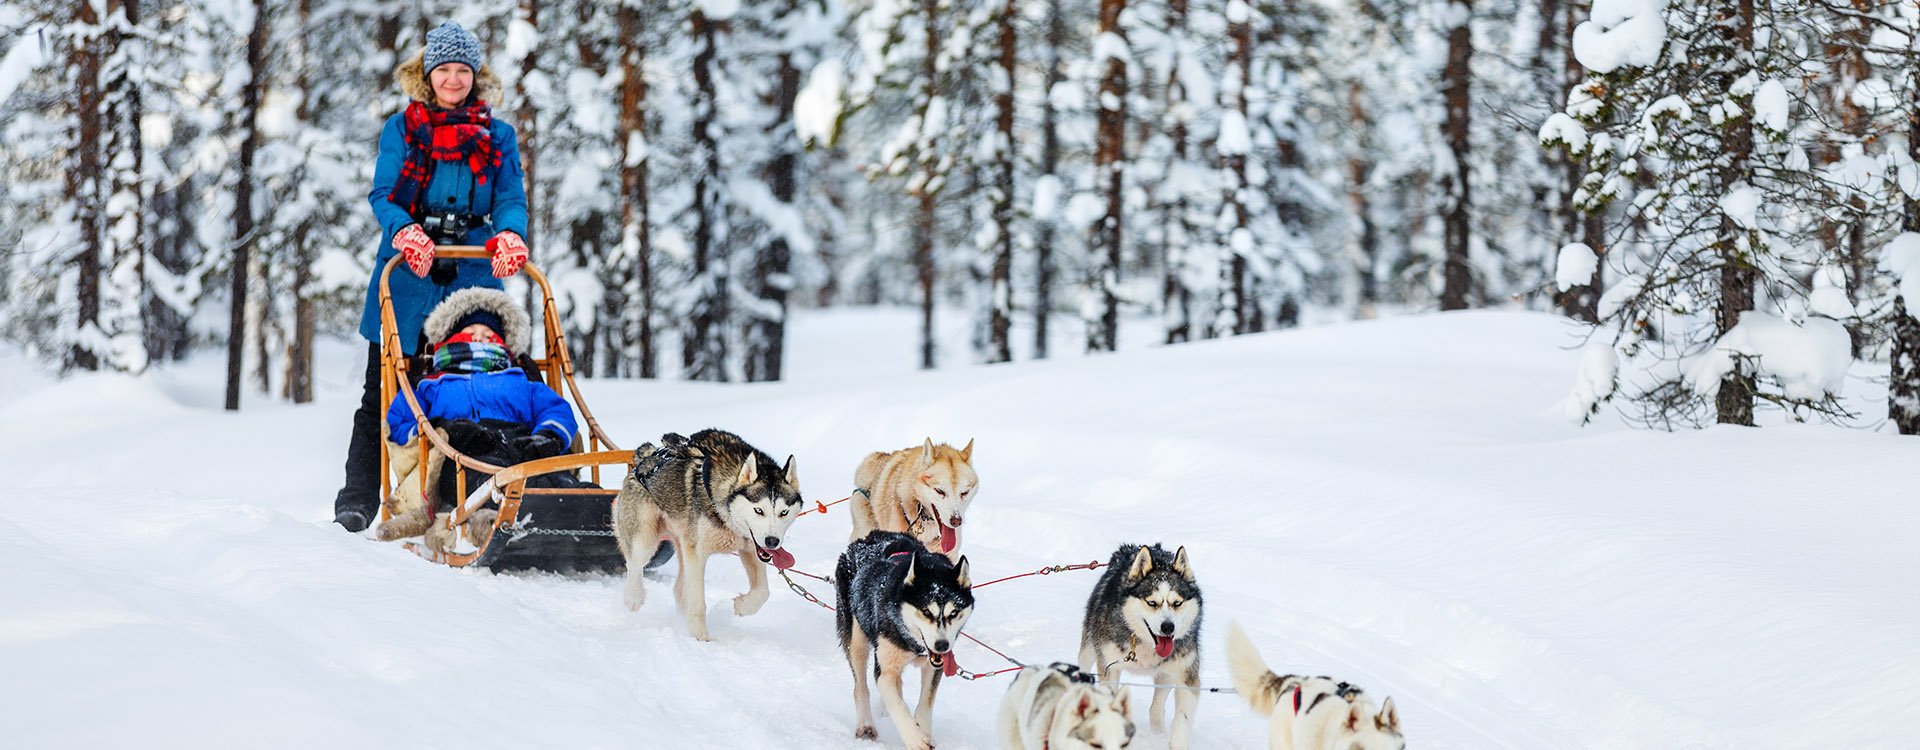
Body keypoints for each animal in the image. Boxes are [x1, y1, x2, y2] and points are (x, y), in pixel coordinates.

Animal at [610, 431, 798, 644]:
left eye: (784, 512)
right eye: (759, 510)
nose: (772, 541)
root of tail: (645, 458)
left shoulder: (750, 549)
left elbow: (762, 591)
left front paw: (742, 606)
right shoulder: (698, 554)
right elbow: (698, 602)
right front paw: (701, 638)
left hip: (683, 545)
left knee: (679, 589)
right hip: (645, 540)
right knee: (635, 565)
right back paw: (633, 597)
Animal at [837, 533, 975, 748]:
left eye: (954, 612)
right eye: (926, 611)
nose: (942, 646)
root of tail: (872, 537)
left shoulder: (934, 667)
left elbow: (925, 704)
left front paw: (924, 732)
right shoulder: (884, 671)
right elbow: (897, 705)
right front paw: (915, 739)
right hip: (857, 642)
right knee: (860, 687)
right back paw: (866, 725)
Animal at [1082, 544, 1198, 750]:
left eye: (1177, 603)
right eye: (1152, 602)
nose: (1168, 627)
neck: (1147, 645)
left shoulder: (1186, 674)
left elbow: (1181, 718)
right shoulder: (1109, 667)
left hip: (1166, 675)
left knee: (1157, 707)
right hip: (1089, 648)